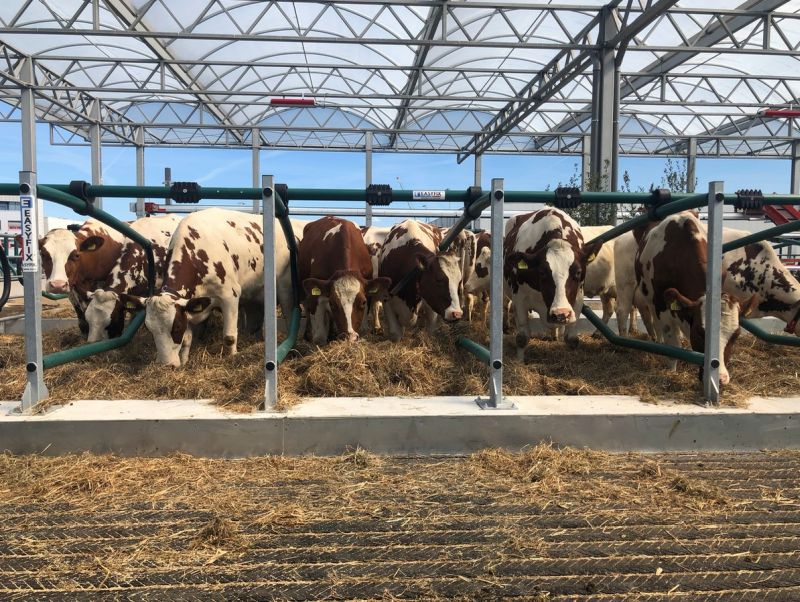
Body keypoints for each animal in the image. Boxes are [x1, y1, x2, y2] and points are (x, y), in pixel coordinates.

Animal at [126, 206, 296, 366]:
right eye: (150, 329)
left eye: (176, 327)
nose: (166, 365)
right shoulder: (189, 304)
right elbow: (187, 339)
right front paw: (184, 361)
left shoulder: (230, 296)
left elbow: (229, 337)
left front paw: (232, 357)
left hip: (284, 288)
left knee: (289, 315)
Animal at [506, 207, 600, 356]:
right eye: (542, 273)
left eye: (578, 272)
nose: (560, 314)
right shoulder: (519, 298)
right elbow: (522, 338)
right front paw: (519, 359)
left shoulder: (577, 299)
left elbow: (572, 339)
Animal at [632, 212, 756, 384]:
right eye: (699, 332)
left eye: (736, 335)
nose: (720, 379)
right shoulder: (661, 304)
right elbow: (673, 344)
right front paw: (672, 371)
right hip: (649, 296)